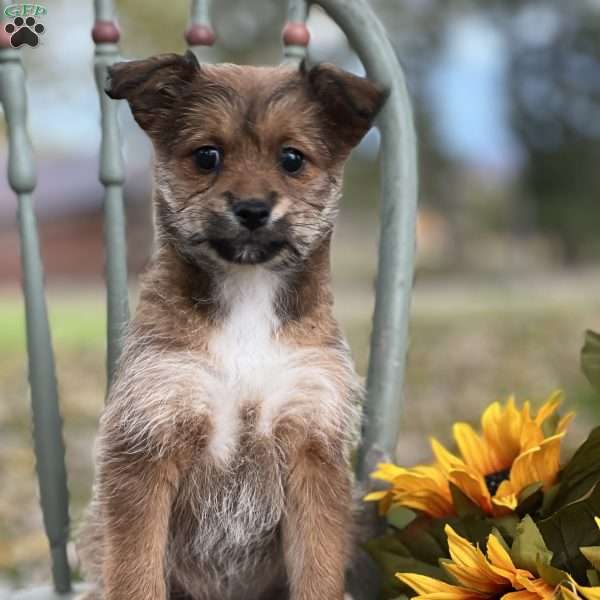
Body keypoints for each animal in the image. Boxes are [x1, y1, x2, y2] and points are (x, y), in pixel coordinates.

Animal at [78, 52, 384, 600]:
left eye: (291, 159)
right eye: (207, 156)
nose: (252, 209)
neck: (248, 301)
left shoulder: (312, 444)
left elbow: (319, 570)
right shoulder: (146, 444)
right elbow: (135, 571)